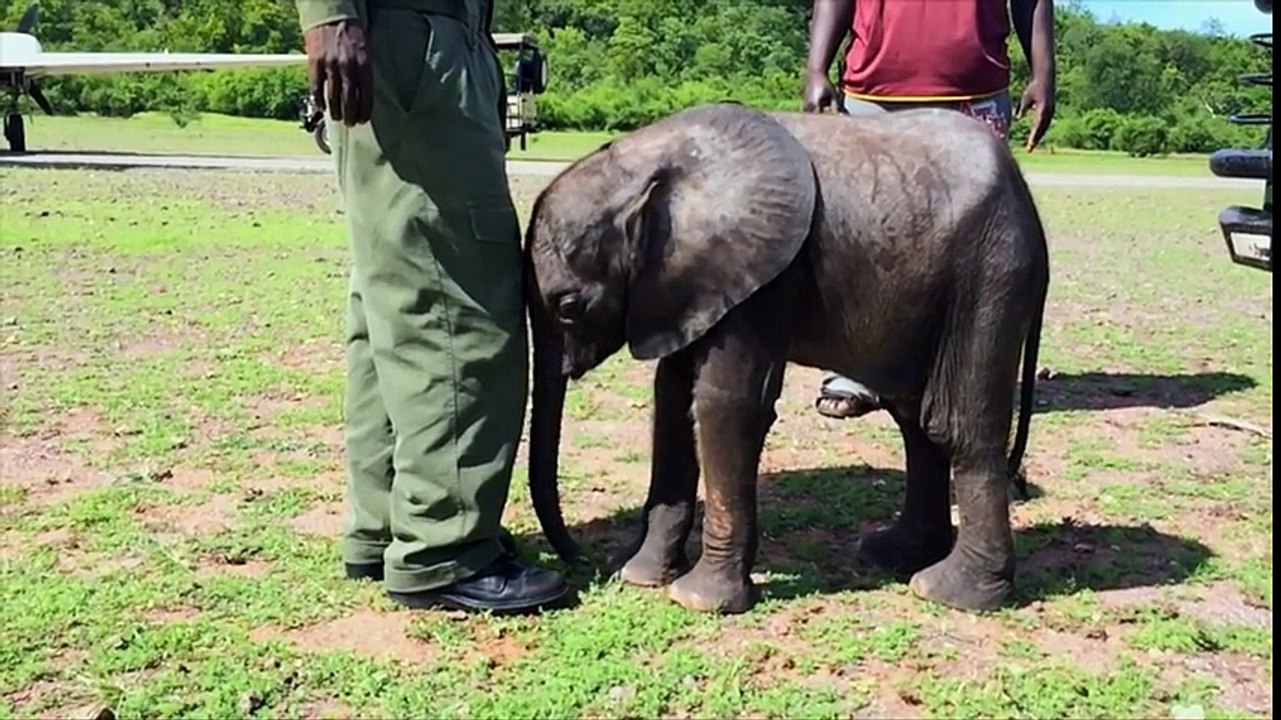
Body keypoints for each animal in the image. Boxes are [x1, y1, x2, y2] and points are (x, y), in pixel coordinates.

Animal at [521, 101, 1049, 615]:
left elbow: (725, 405)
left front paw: (698, 600)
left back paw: (949, 593)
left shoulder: (760, 279)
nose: (584, 560)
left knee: (958, 427)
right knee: (916, 423)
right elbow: (671, 397)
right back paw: (894, 556)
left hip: (990, 276)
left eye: (568, 307)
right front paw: (641, 576)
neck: (652, 167)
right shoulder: (683, 284)